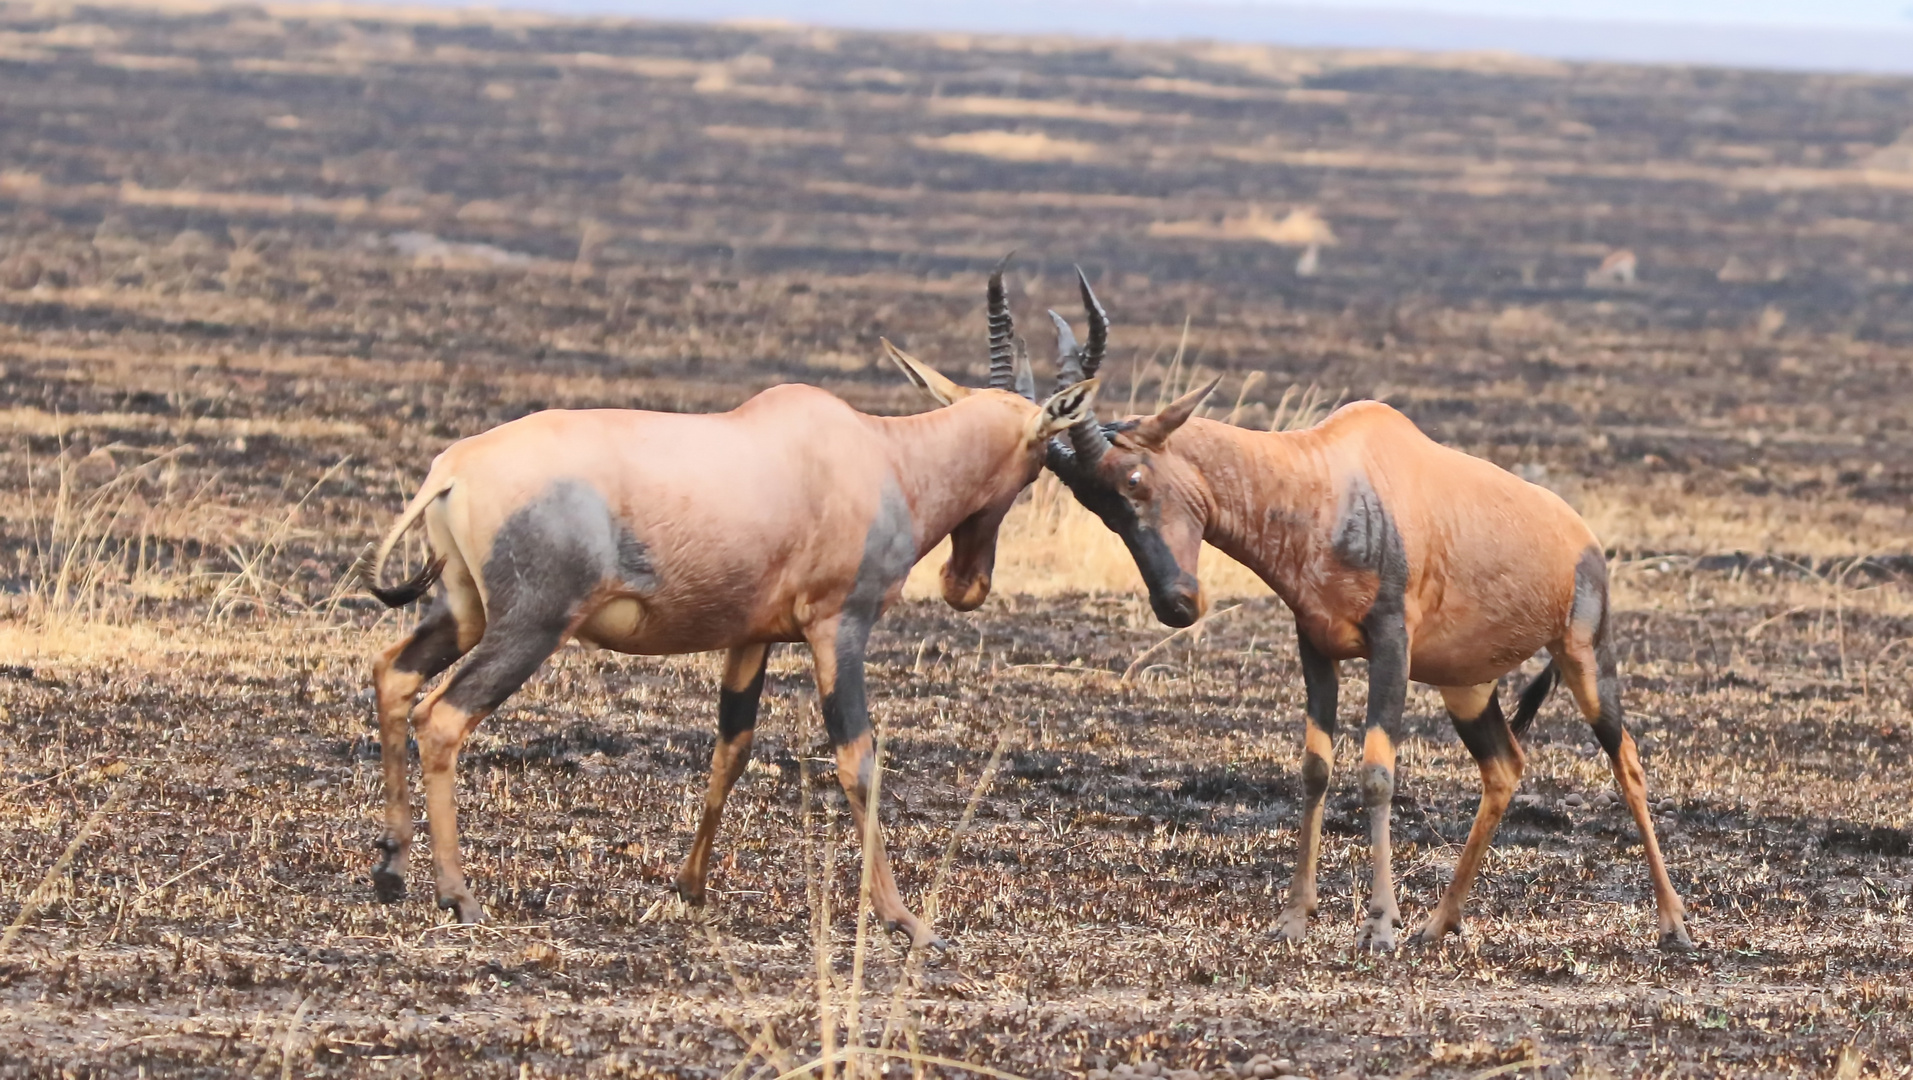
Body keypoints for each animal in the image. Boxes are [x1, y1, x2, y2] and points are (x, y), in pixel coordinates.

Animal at [348, 256, 1094, 940]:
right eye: (1040, 461)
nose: (967, 585)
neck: (876, 453)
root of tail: (452, 469)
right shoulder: (838, 626)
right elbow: (858, 759)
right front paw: (903, 919)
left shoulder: (751, 635)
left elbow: (731, 748)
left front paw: (692, 888)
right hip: (530, 626)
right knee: (442, 718)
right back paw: (458, 896)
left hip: (465, 611)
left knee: (394, 673)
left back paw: (391, 869)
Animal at [1048, 277, 1691, 951]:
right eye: (1095, 505)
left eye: (1135, 478)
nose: (1177, 602)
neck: (1327, 477)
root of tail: (1583, 535)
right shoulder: (1316, 646)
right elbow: (1314, 767)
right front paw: (1295, 917)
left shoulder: (1390, 646)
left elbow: (1378, 772)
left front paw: (1380, 924)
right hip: (1466, 686)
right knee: (1505, 768)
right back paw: (1438, 922)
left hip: (1584, 655)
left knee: (1627, 761)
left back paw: (1674, 924)